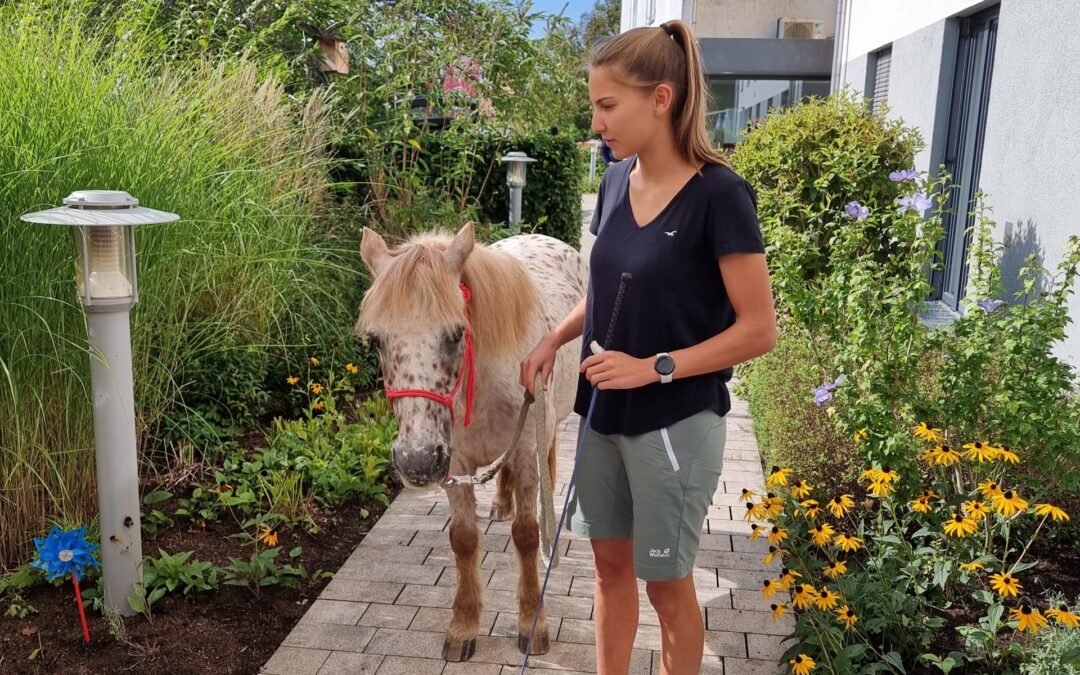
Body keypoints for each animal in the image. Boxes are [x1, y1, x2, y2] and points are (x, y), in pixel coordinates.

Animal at [358, 223, 587, 660]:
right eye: (375, 341)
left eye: (455, 335)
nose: (416, 462)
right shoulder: (455, 463)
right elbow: (463, 539)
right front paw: (464, 626)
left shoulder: (525, 451)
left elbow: (527, 533)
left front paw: (532, 622)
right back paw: (500, 502)